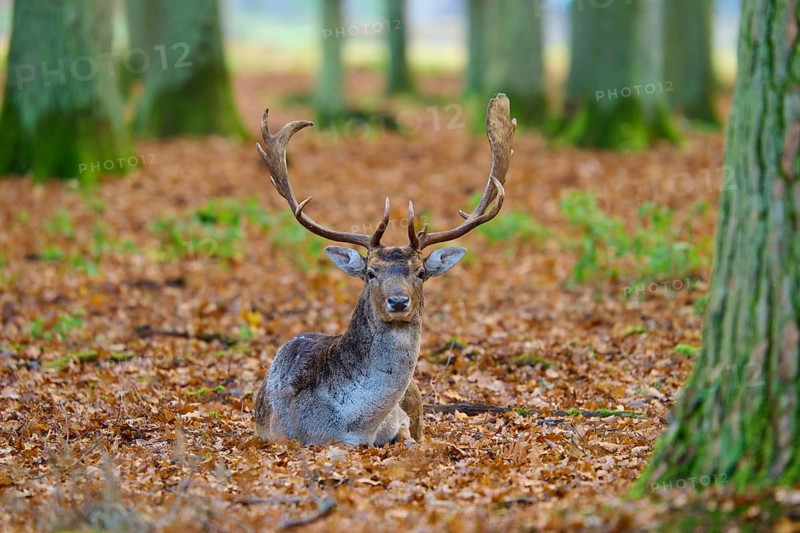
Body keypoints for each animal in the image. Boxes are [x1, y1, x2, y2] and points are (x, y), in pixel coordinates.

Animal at [253, 94, 516, 446]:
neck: (355, 426)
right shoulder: (281, 434)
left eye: (420, 272)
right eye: (370, 273)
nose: (398, 301)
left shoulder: (403, 422)